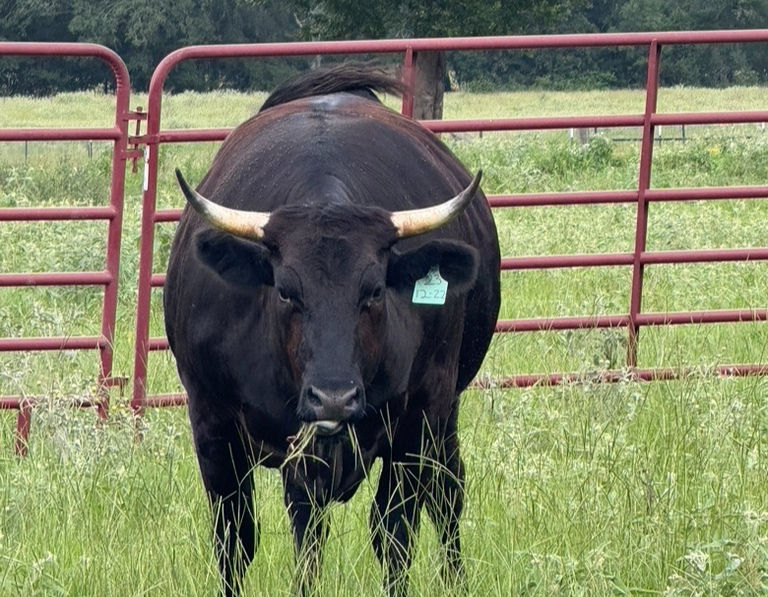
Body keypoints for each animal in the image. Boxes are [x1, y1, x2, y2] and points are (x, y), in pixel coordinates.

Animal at [163, 64, 500, 597]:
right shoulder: (212, 423)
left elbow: (394, 532)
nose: (334, 398)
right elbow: (239, 540)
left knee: (447, 492)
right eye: (285, 291)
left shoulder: (418, 418)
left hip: (445, 412)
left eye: (375, 290)